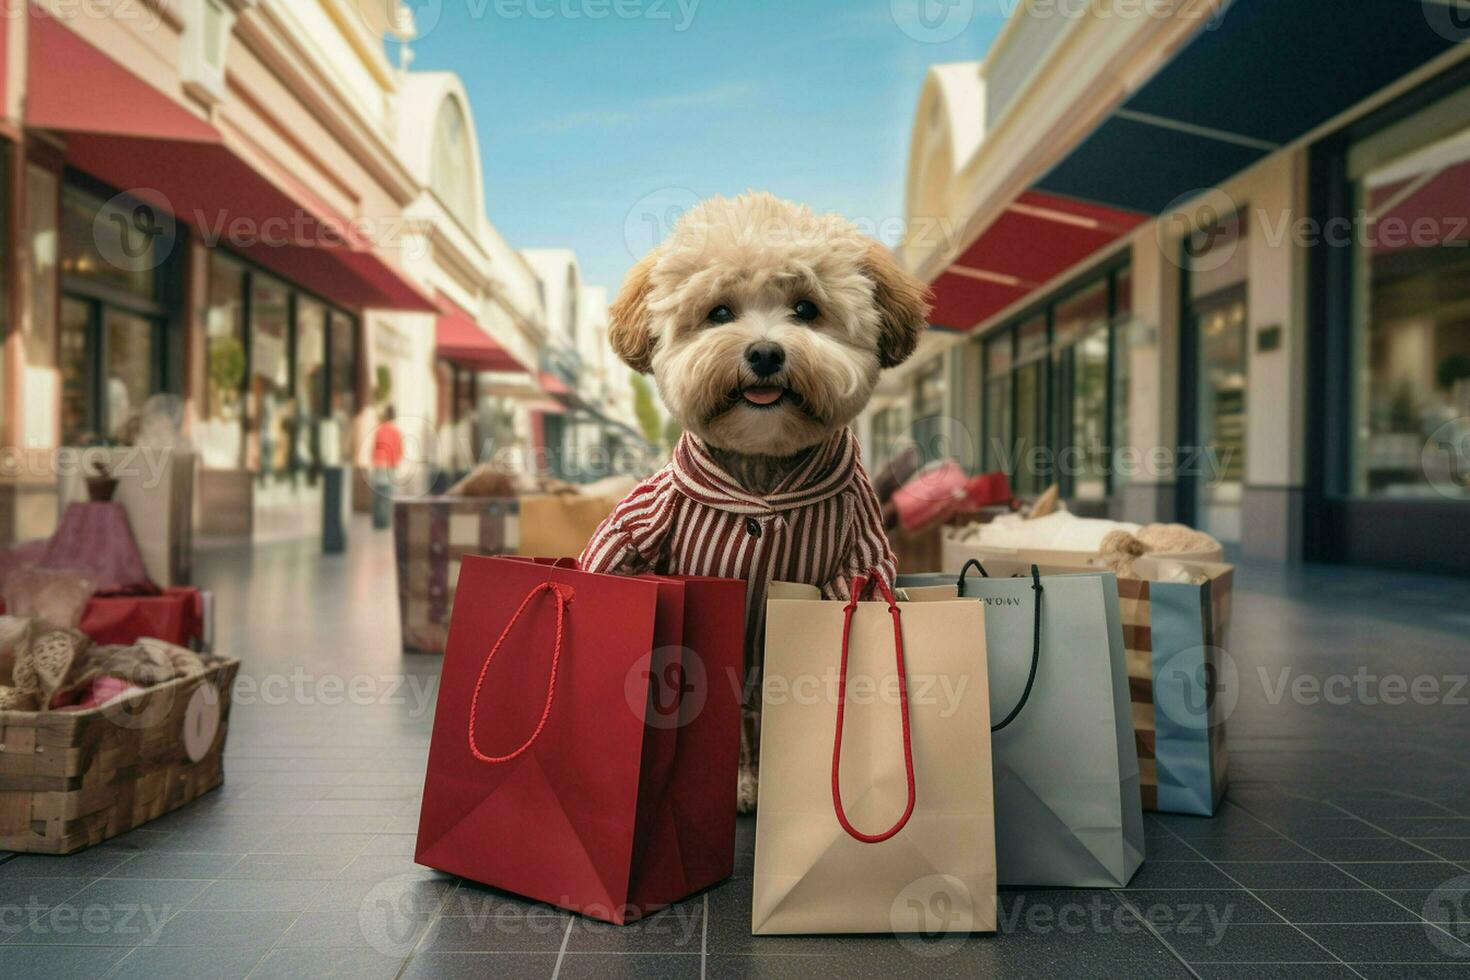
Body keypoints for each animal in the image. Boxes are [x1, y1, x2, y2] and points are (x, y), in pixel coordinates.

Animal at [576, 191, 929, 811]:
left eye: (806, 309)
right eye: (719, 313)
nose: (765, 353)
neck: (761, 481)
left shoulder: (858, 559)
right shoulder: (638, 530)